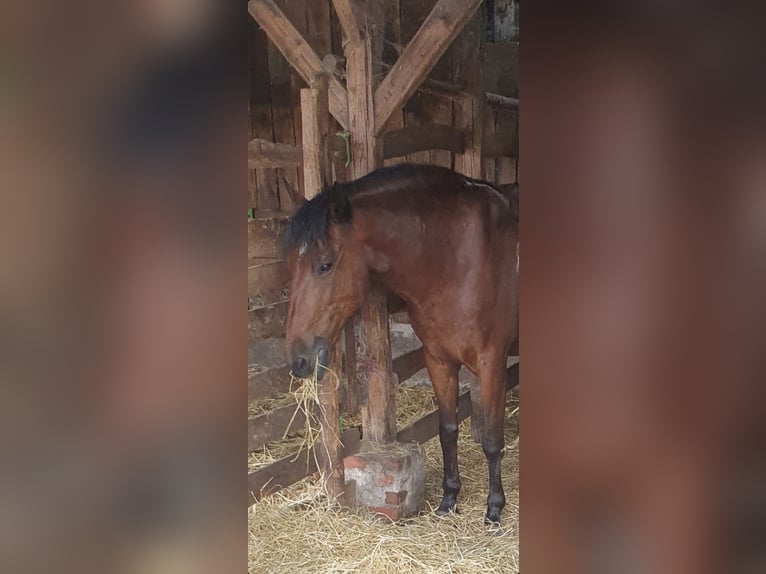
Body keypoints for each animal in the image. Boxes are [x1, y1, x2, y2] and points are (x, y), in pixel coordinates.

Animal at [284, 163, 520, 528]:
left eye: (325, 264)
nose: (298, 358)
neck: (457, 258)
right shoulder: (438, 359)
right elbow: (447, 430)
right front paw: (449, 499)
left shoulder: (492, 361)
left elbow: (493, 441)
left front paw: (494, 508)